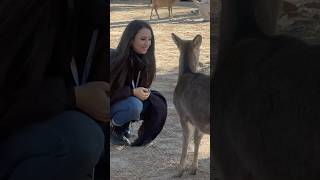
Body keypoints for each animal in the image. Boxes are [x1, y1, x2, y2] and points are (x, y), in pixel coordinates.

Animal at [172, 32, 210, 177]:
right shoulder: (197, 119)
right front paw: (194, 169)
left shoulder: (183, 114)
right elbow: (197, 140)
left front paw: (180, 170)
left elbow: (186, 140)